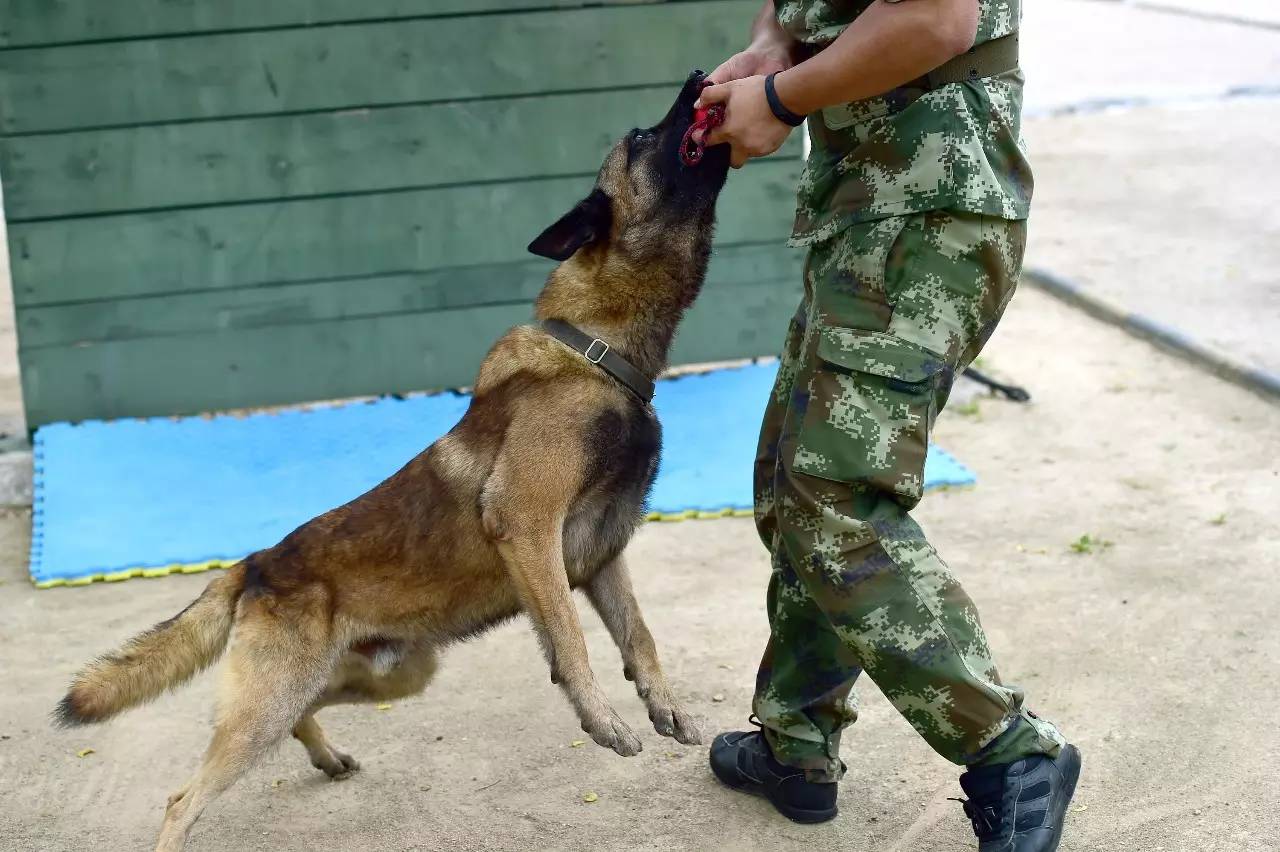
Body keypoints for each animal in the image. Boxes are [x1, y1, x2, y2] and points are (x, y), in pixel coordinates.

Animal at [55, 72, 732, 849]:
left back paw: (325, 755)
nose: (701, 79)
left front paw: (663, 704)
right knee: (182, 799)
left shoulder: (598, 558)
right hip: (273, 702)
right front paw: (600, 718)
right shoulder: (529, 527)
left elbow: (640, 637)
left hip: (382, 677)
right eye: (644, 139)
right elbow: (572, 641)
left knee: (300, 716)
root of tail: (255, 563)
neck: (595, 352)